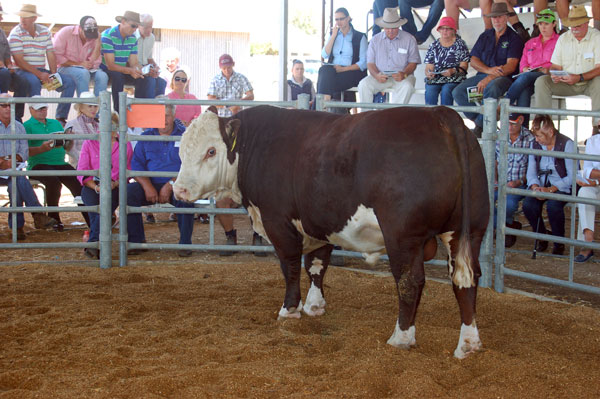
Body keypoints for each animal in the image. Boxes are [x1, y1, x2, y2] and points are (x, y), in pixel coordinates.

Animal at [172, 105, 488, 360]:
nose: (180, 190)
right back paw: (469, 343)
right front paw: (314, 306)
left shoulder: (278, 222)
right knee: (466, 280)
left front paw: (289, 310)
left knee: (410, 282)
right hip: (469, 231)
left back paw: (401, 337)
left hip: (403, 236)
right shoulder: (318, 222)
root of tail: (440, 114)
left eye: (211, 151)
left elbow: (290, 266)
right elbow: (316, 264)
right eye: (181, 150)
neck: (255, 146)